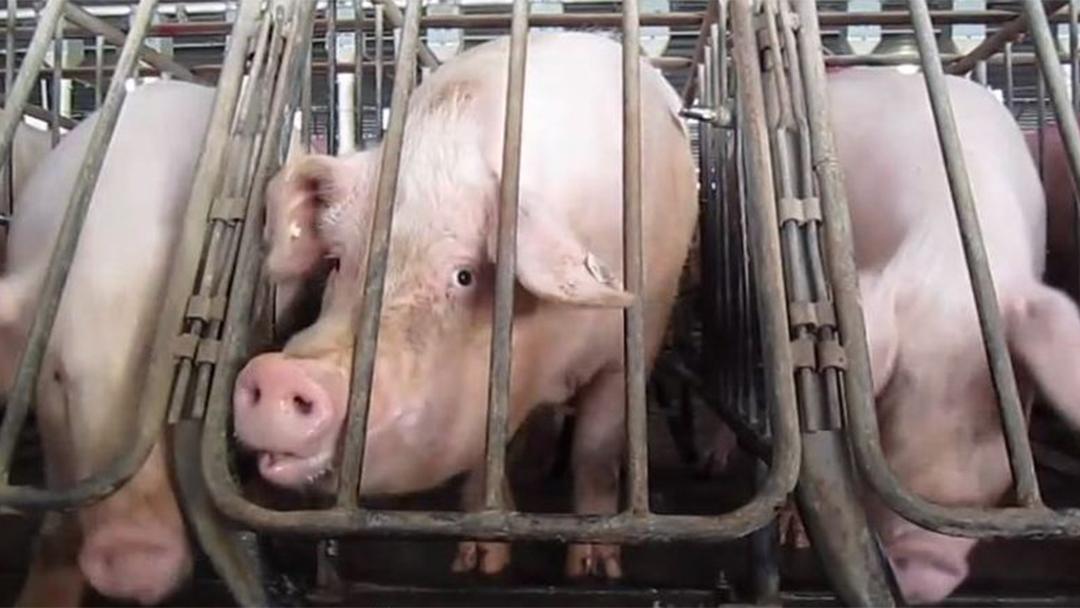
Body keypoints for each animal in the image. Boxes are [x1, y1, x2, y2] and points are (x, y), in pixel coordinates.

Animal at [231, 30, 695, 583]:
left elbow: (595, 453)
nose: (282, 374)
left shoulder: (628, 350)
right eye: (340, 261)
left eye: (464, 275)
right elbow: (483, 461)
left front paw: (592, 569)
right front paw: (478, 565)